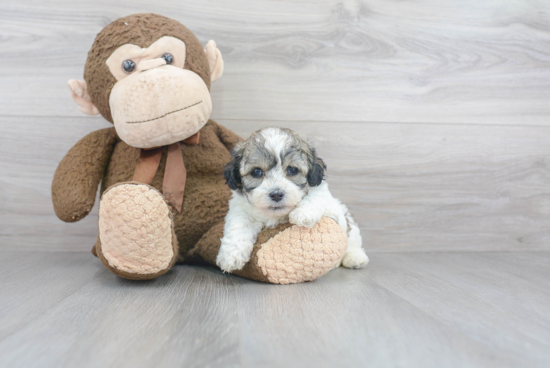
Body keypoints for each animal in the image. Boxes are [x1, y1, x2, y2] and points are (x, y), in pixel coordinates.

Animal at [217, 126, 370, 274]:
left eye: (292, 170)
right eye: (256, 172)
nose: (276, 194)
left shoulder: (327, 201)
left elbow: (315, 197)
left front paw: (302, 214)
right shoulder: (240, 209)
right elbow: (238, 226)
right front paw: (231, 256)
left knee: (352, 239)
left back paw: (355, 258)